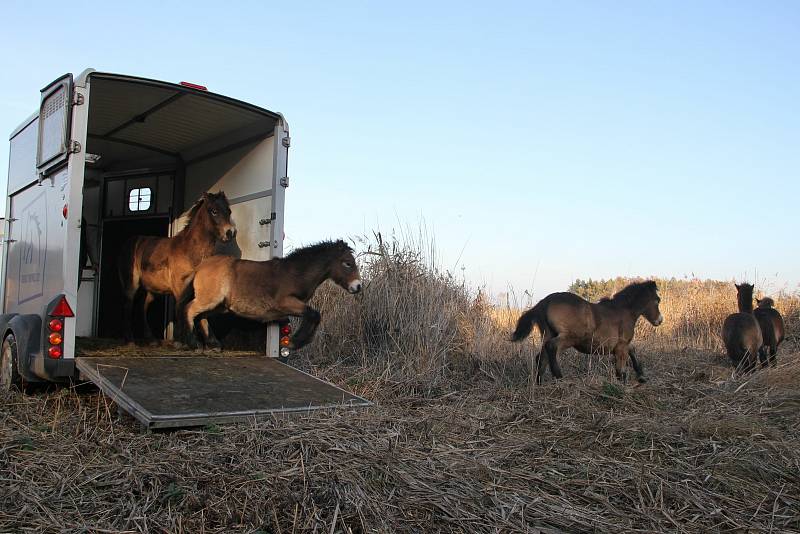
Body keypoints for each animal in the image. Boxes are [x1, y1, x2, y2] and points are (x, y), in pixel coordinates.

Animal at [117, 193, 238, 344]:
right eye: (214, 211)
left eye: (229, 211)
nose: (230, 232)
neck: (189, 251)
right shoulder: (180, 287)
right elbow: (182, 309)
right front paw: (188, 341)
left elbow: (199, 311)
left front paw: (212, 342)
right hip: (132, 284)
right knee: (128, 306)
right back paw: (130, 340)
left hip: (153, 291)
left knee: (142, 307)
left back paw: (151, 339)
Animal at [181, 240, 362, 352]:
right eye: (347, 263)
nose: (358, 286)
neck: (295, 273)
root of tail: (201, 266)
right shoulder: (284, 303)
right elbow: (313, 314)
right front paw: (295, 342)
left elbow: (313, 316)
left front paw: (297, 341)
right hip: (210, 300)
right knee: (189, 310)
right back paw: (193, 343)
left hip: (220, 306)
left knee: (202, 316)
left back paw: (213, 344)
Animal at [512, 280, 664, 386]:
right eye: (657, 300)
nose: (660, 320)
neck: (624, 311)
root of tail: (544, 302)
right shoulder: (621, 346)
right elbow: (621, 370)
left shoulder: (622, 345)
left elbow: (633, 351)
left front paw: (641, 376)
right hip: (569, 338)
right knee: (551, 347)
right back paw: (560, 377)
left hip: (548, 334)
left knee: (541, 357)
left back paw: (539, 382)